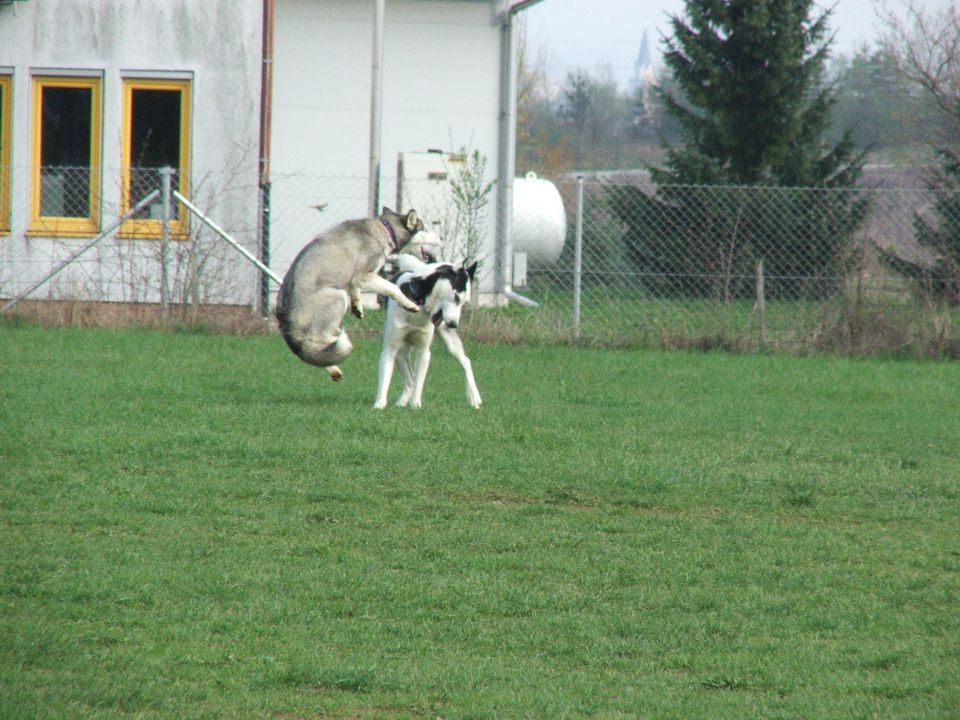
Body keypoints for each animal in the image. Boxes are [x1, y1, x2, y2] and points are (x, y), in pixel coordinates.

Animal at [374, 256, 480, 408]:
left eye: (464, 302)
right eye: (456, 297)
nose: (454, 325)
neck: (418, 303)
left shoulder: (423, 352)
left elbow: (419, 382)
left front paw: (415, 405)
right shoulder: (390, 348)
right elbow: (385, 379)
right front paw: (379, 404)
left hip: (450, 342)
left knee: (465, 361)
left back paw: (473, 395)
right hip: (400, 353)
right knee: (410, 380)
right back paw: (402, 402)